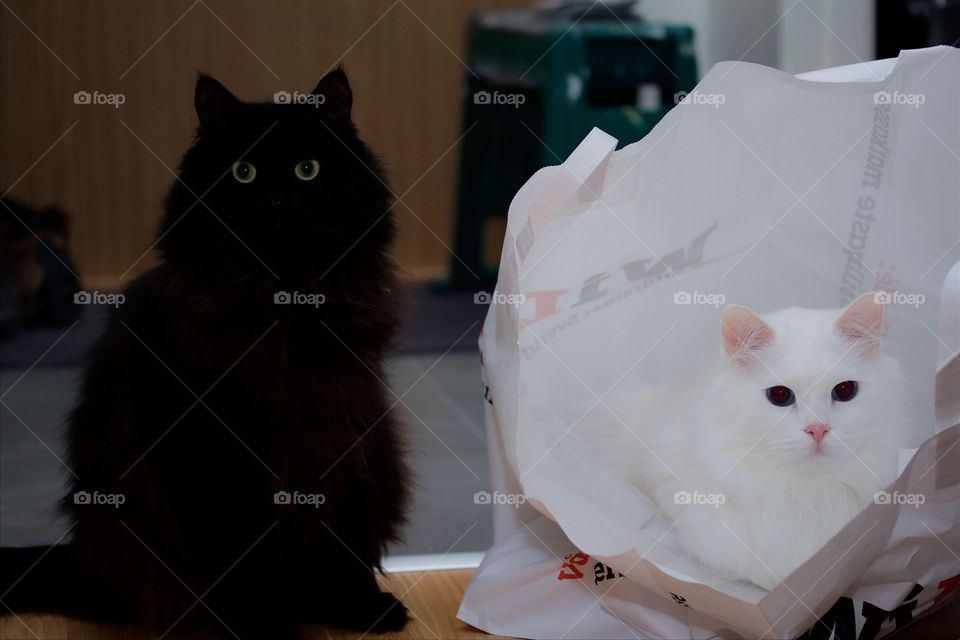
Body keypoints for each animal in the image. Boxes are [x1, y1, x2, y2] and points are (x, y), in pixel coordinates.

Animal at [0, 67, 408, 636]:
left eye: (307, 170)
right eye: (244, 172)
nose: (275, 202)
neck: (284, 302)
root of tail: (81, 561)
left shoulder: (342, 430)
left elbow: (342, 533)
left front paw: (360, 604)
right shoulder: (215, 448)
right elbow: (242, 554)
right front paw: (259, 624)